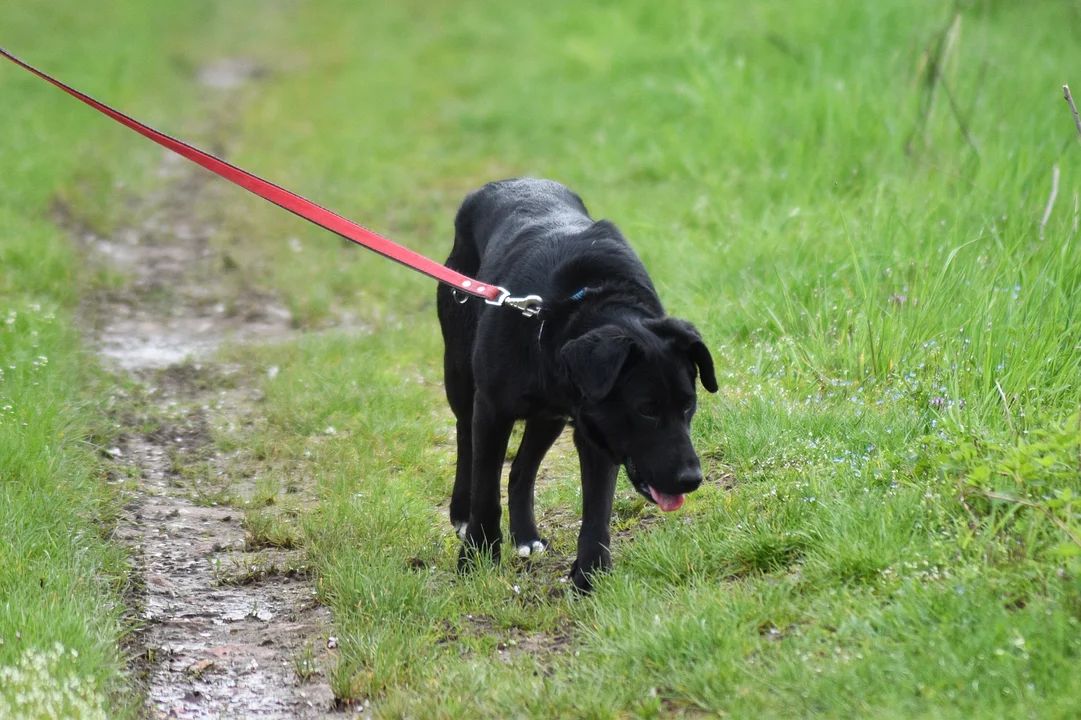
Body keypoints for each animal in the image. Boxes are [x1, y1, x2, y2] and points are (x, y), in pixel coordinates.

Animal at [434, 178, 713, 588]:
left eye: (688, 405)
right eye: (646, 410)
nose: (691, 479)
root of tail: (505, 183)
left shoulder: (598, 430)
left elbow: (597, 508)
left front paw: (591, 576)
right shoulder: (492, 411)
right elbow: (485, 490)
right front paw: (475, 558)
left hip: (548, 416)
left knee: (521, 471)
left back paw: (526, 535)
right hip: (459, 372)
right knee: (464, 437)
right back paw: (461, 512)